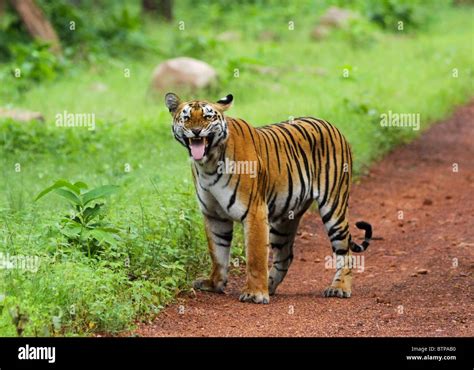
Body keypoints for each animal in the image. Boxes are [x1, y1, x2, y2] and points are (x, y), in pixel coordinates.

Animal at [165, 92, 372, 304]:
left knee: (345, 251)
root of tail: (331, 125)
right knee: (285, 255)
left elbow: (255, 256)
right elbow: (218, 253)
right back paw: (270, 285)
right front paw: (214, 284)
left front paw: (255, 293)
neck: (208, 164)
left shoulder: (254, 211)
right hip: (285, 218)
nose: (196, 131)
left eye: (208, 117)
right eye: (186, 118)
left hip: (334, 205)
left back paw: (339, 288)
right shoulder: (214, 215)